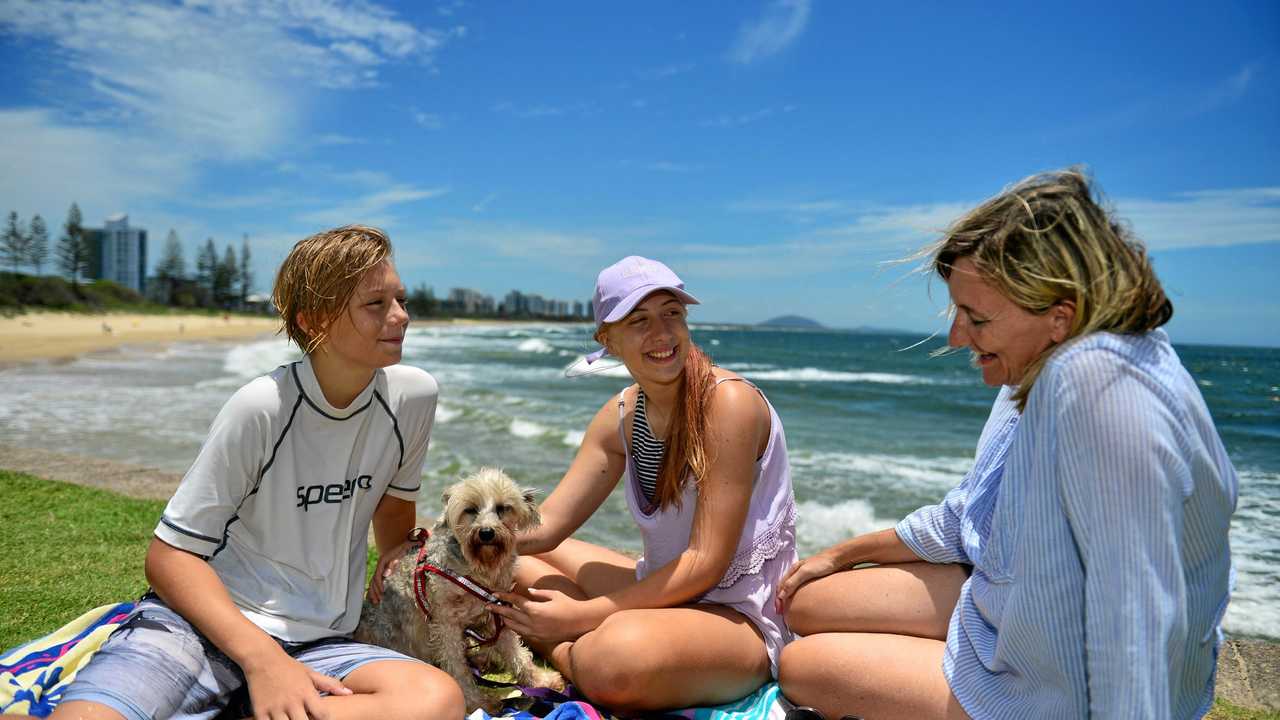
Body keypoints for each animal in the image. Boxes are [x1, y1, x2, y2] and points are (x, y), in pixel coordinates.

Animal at [358, 466, 563, 712]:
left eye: (503, 508)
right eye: (470, 509)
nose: (486, 532)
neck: (477, 570)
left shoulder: (496, 616)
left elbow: (516, 653)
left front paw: (540, 680)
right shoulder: (446, 626)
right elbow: (458, 669)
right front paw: (478, 702)